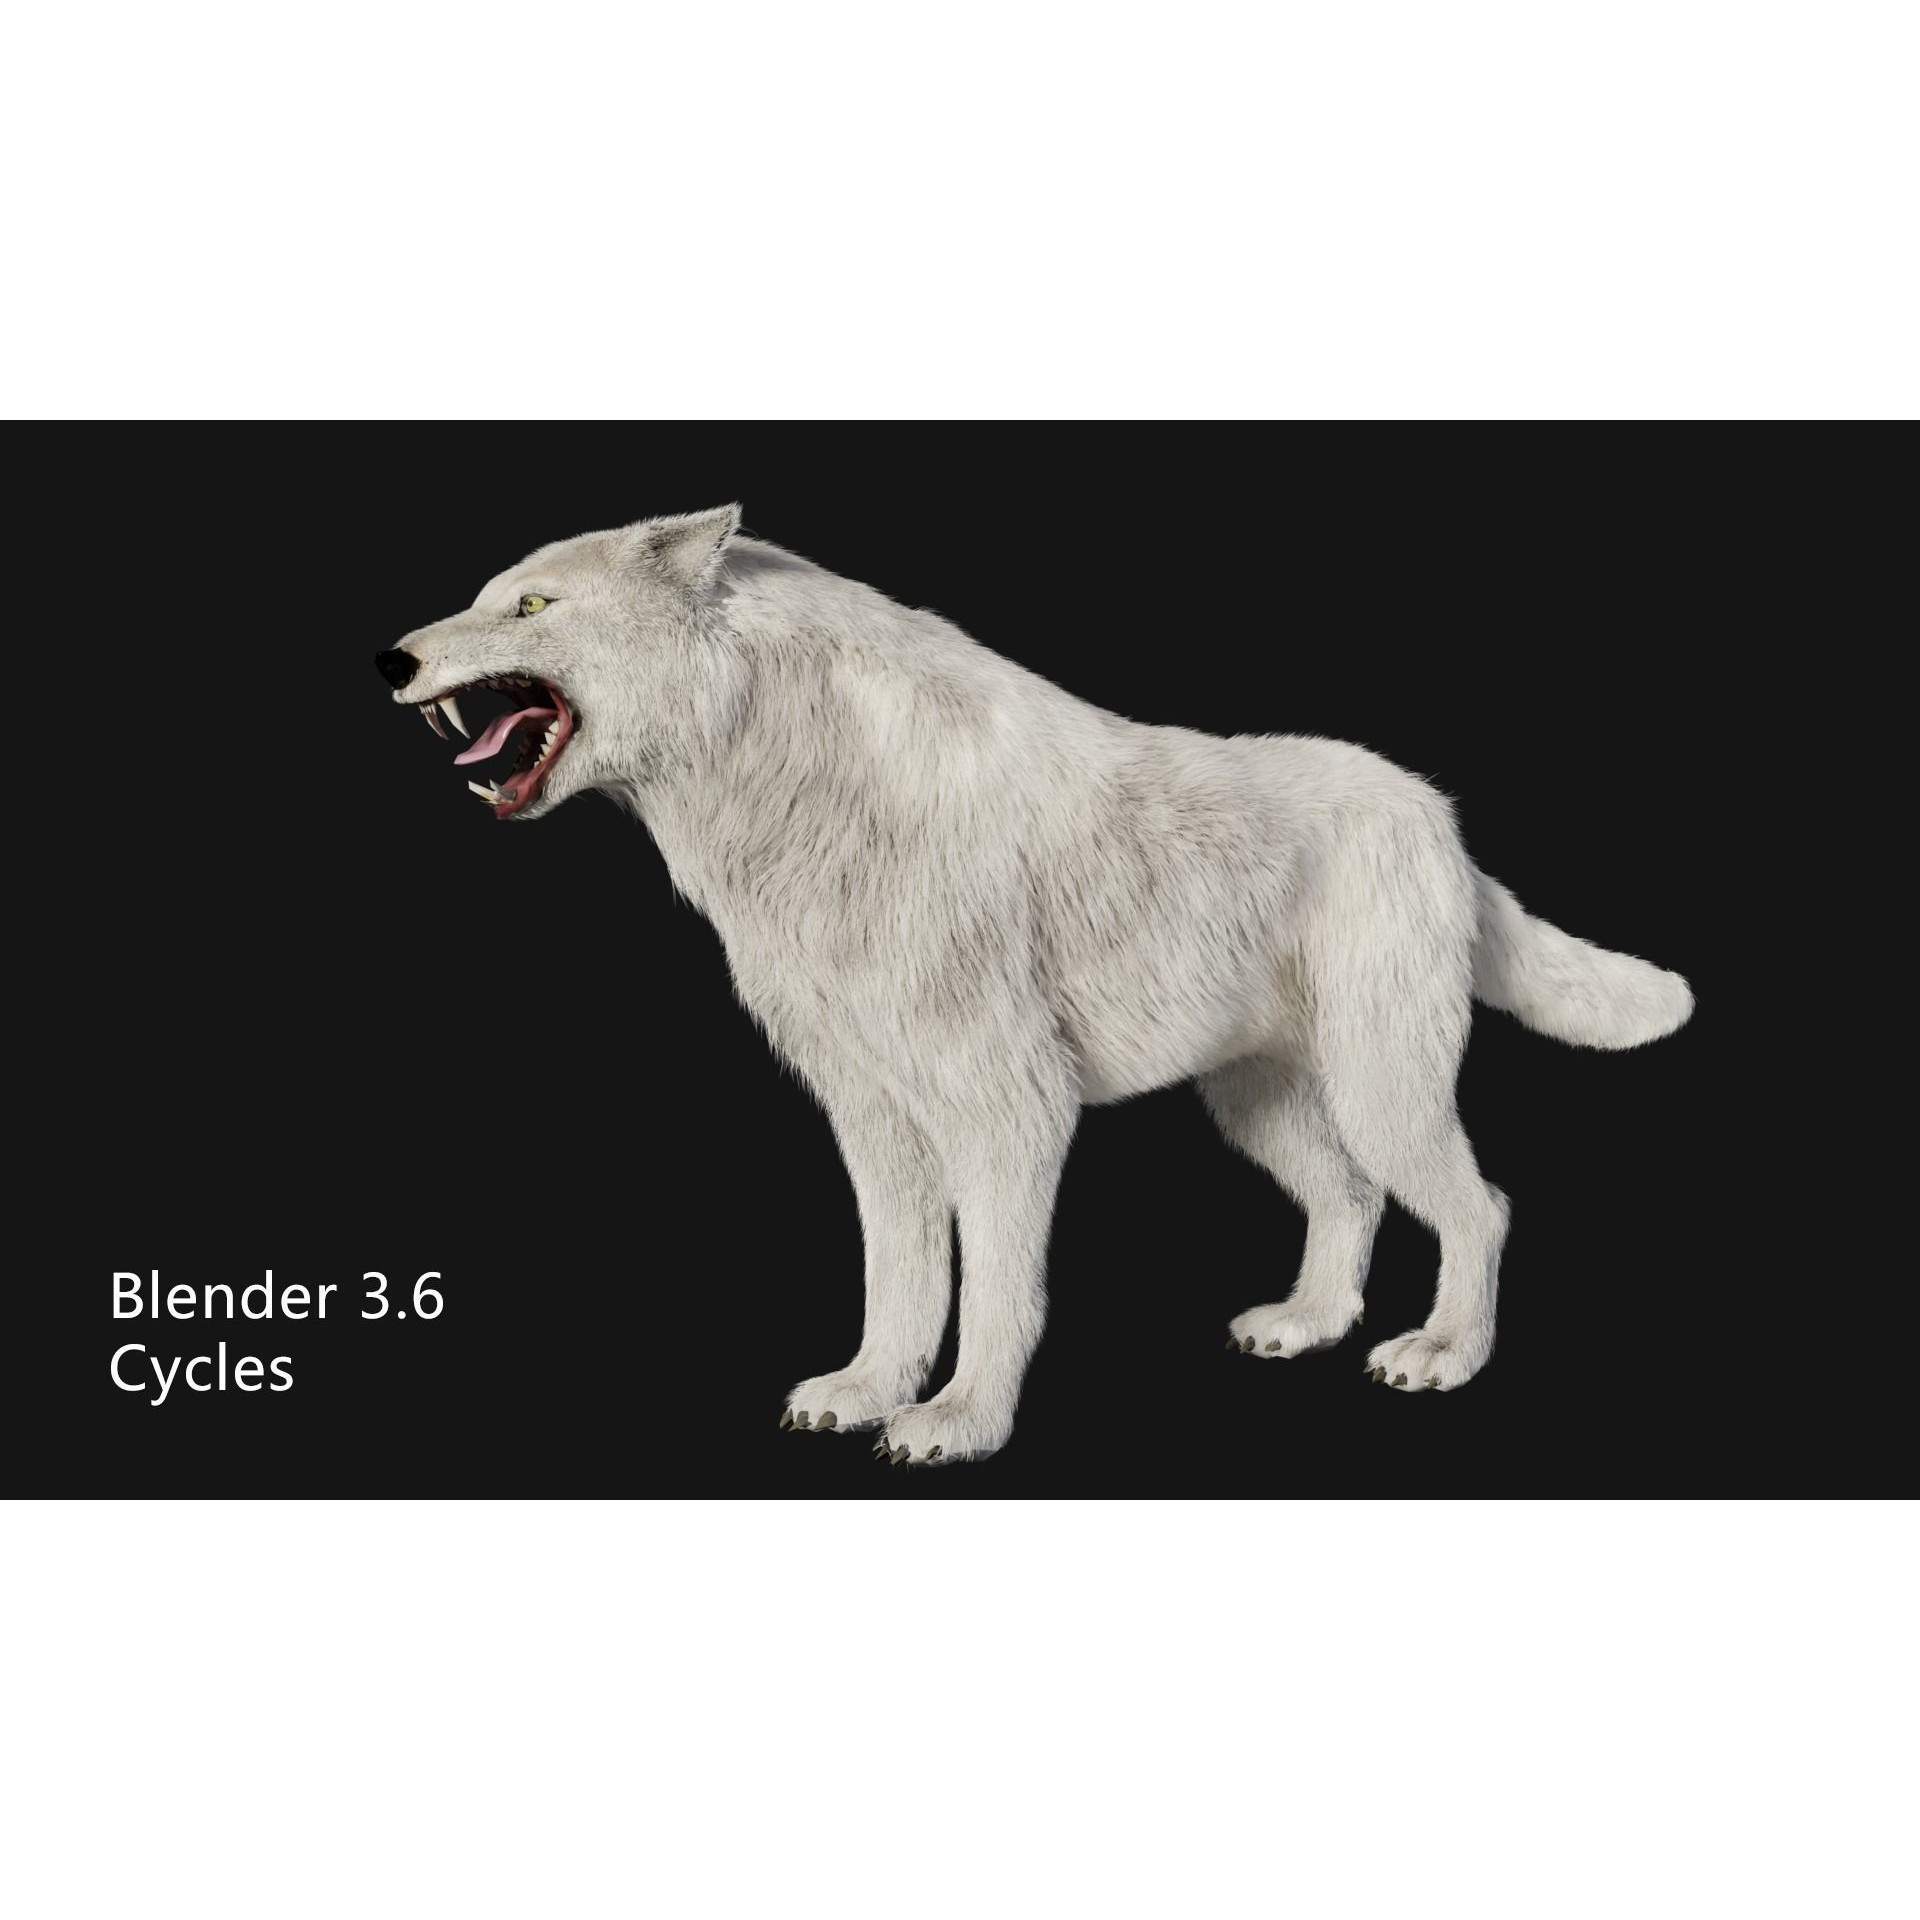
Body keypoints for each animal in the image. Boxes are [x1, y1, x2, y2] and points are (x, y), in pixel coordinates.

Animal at [375, 506, 1692, 1465]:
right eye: (488, 597)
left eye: (530, 606)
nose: (393, 657)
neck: (796, 798)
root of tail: (1443, 818)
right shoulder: (874, 1118)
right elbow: (901, 1277)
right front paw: (867, 1391)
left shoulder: (1009, 1114)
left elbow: (1002, 1289)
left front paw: (960, 1423)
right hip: (1259, 1107)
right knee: (1352, 1197)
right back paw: (1304, 1326)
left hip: (1382, 1090)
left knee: (1481, 1206)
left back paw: (1442, 1353)